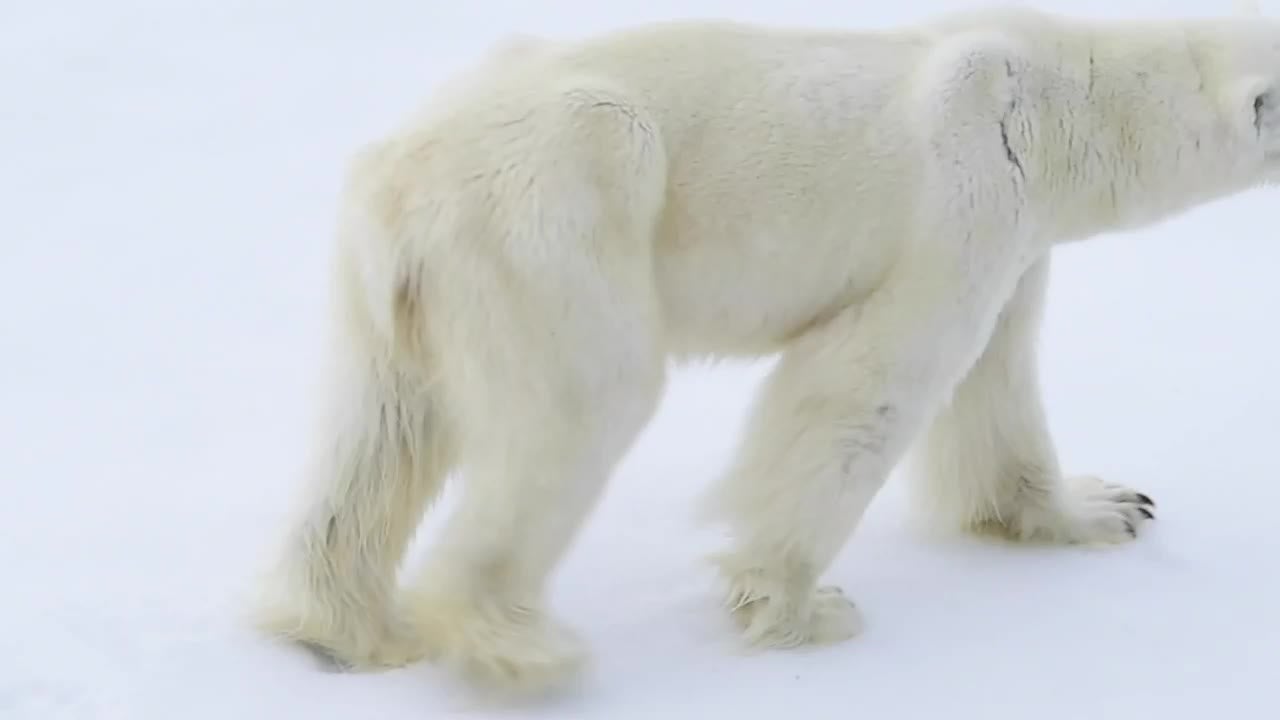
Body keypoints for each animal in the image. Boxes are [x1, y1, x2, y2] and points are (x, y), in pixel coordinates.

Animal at [251, 3, 1280, 697]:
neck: (1061, 96)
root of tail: (399, 177)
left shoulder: (1017, 239)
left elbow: (999, 379)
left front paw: (1106, 507)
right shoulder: (967, 197)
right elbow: (868, 384)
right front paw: (800, 609)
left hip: (400, 289)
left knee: (381, 430)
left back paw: (340, 628)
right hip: (561, 211)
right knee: (585, 402)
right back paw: (520, 647)